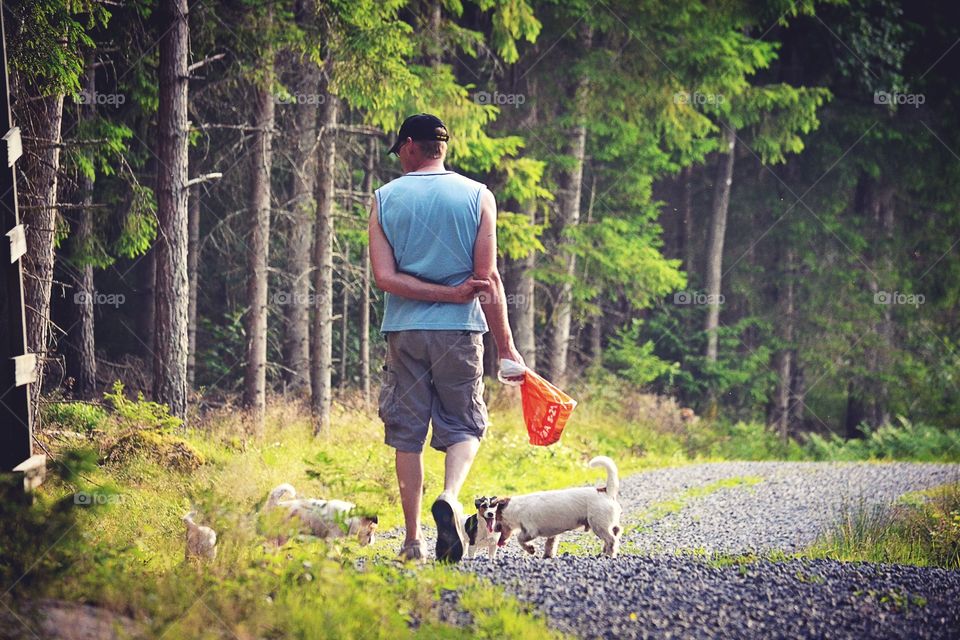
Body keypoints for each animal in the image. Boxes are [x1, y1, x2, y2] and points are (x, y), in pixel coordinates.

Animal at [496, 458, 624, 556]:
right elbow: (550, 546)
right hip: (606, 524)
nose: (495, 529)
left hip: (598, 525)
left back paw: (609, 555)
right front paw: (547, 556)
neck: (515, 508)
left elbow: (520, 539)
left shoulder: (530, 531)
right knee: (616, 532)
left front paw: (530, 549)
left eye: (496, 517)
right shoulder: (553, 534)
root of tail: (605, 491)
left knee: (611, 540)